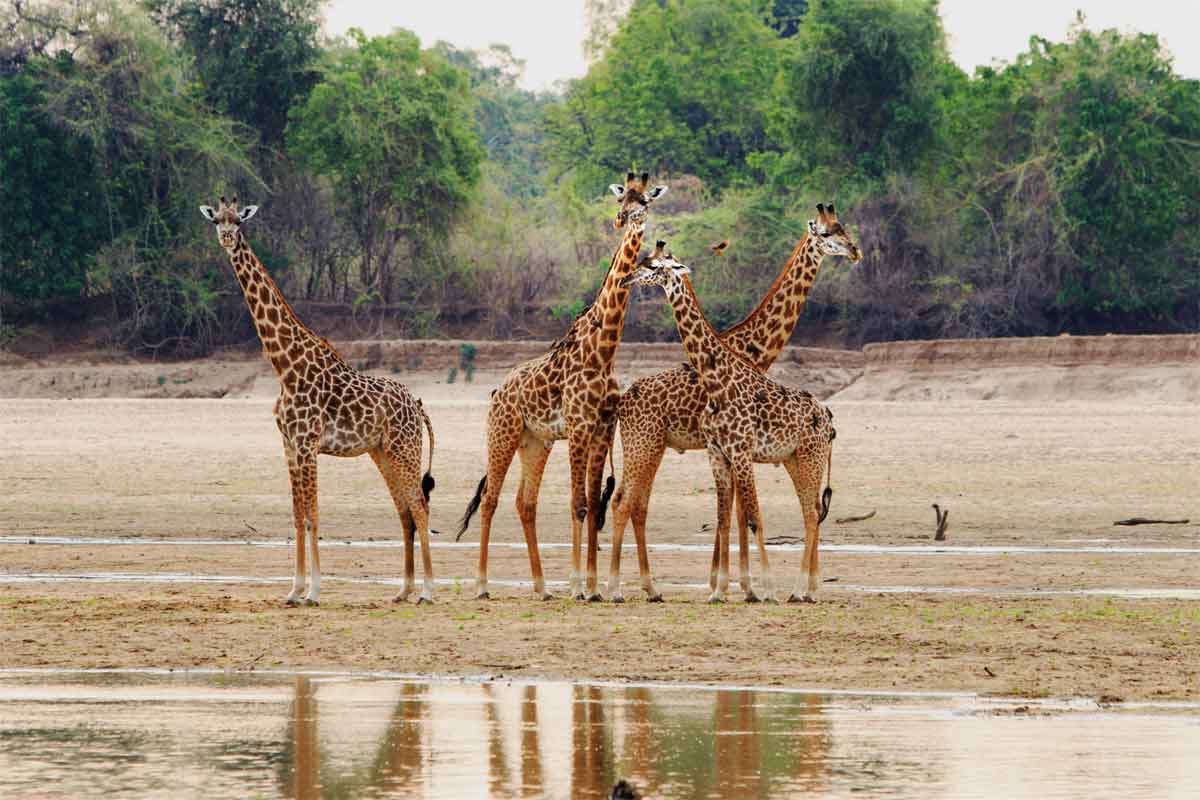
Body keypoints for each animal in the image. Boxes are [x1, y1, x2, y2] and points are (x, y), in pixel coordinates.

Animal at [199, 196, 439, 604]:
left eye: (239, 221)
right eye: (216, 220)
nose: (228, 238)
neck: (284, 365)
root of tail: (418, 405)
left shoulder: (308, 443)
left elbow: (313, 515)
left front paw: (313, 590)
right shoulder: (289, 444)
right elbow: (298, 515)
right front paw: (294, 589)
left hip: (406, 449)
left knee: (419, 507)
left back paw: (427, 590)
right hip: (382, 452)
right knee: (405, 511)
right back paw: (403, 590)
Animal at [456, 173, 672, 599]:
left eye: (644, 201)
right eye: (622, 198)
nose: (622, 220)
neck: (603, 350)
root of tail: (497, 391)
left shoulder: (603, 428)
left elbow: (592, 503)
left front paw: (593, 586)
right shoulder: (578, 427)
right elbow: (579, 504)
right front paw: (578, 585)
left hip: (534, 442)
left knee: (525, 503)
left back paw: (541, 587)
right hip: (503, 433)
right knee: (490, 499)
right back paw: (483, 584)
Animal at [614, 205, 859, 599]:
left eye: (840, 228)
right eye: (826, 233)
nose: (855, 251)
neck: (752, 349)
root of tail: (622, 400)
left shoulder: (735, 452)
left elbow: (738, 515)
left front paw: (739, 585)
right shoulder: (725, 450)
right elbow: (736, 515)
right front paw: (733, 586)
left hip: (657, 446)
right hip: (646, 443)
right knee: (625, 502)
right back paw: (610, 587)